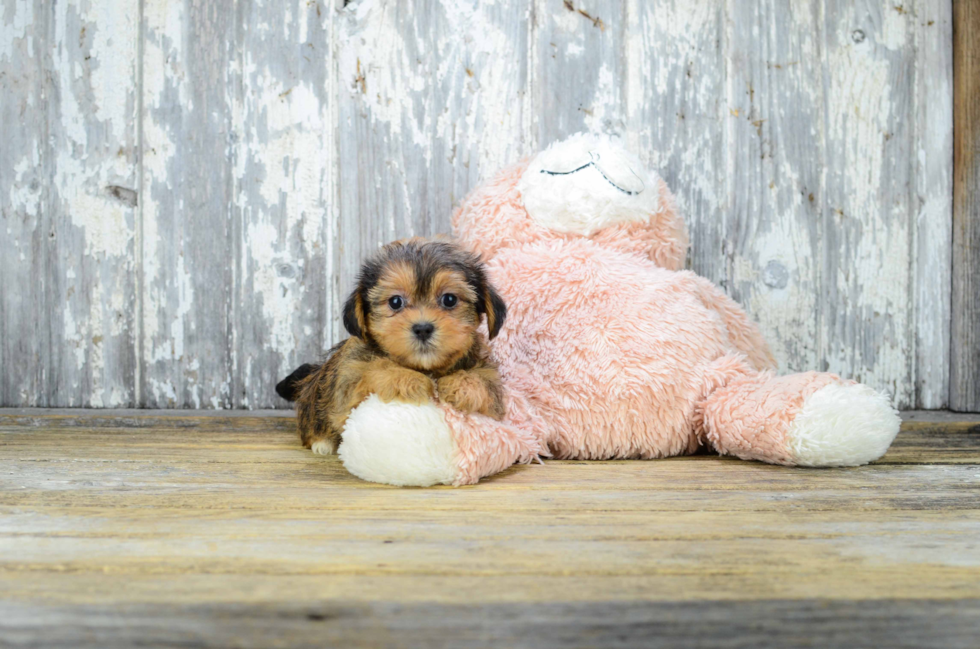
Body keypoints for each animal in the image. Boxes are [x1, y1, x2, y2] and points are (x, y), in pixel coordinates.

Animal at [274, 238, 506, 456]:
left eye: (449, 299)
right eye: (395, 302)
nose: (423, 328)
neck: (426, 367)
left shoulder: (492, 386)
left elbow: (486, 383)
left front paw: (459, 385)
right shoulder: (348, 384)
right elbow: (375, 367)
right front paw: (410, 379)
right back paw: (322, 443)